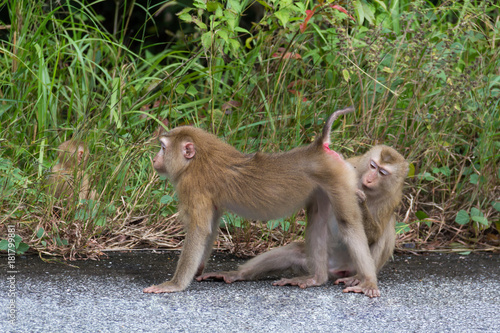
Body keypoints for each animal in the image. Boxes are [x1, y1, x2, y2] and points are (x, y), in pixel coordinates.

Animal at [146, 106, 380, 296]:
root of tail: (318, 147)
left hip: (338, 179)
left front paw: (175, 284)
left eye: (163, 148)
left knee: (348, 225)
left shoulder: (191, 186)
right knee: (317, 222)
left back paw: (368, 281)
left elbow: (198, 229)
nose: (155, 159)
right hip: (324, 187)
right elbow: (209, 229)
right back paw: (314, 278)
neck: (195, 160)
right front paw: (199, 268)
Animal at [197, 144, 408, 294]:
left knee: (387, 230)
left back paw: (357, 278)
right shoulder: (345, 167)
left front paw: (360, 200)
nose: (369, 179)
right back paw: (237, 274)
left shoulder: (392, 198)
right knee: (292, 252)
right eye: (373, 165)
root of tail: (338, 268)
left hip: (348, 264)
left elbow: (374, 233)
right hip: (315, 259)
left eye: (382, 172)